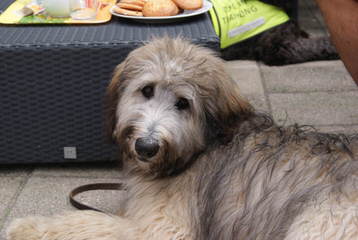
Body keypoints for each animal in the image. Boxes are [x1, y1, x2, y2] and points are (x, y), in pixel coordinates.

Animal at [4, 38, 358, 240]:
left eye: (183, 103)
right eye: (146, 90)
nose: (146, 147)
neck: (196, 150)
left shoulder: (162, 228)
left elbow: (91, 222)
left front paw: (28, 227)